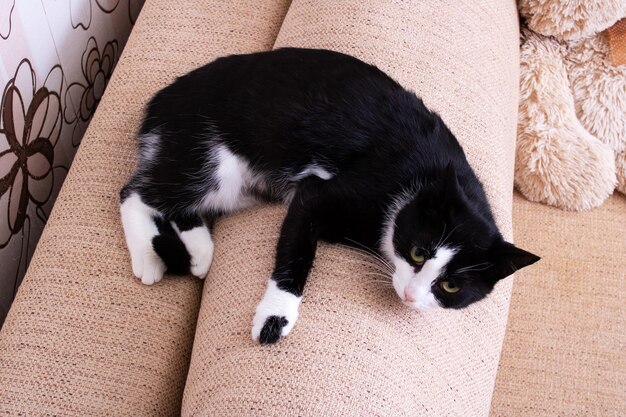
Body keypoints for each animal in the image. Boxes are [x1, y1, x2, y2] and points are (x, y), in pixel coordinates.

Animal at [119, 47, 540, 342]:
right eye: (419, 252)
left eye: (451, 286)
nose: (410, 295)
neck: (422, 185)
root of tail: (162, 98)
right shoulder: (320, 194)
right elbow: (297, 252)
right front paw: (275, 317)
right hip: (211, 157)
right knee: (136, 193)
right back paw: (148, 258)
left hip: (240, 188)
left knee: (176, 204)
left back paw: (201, 254)